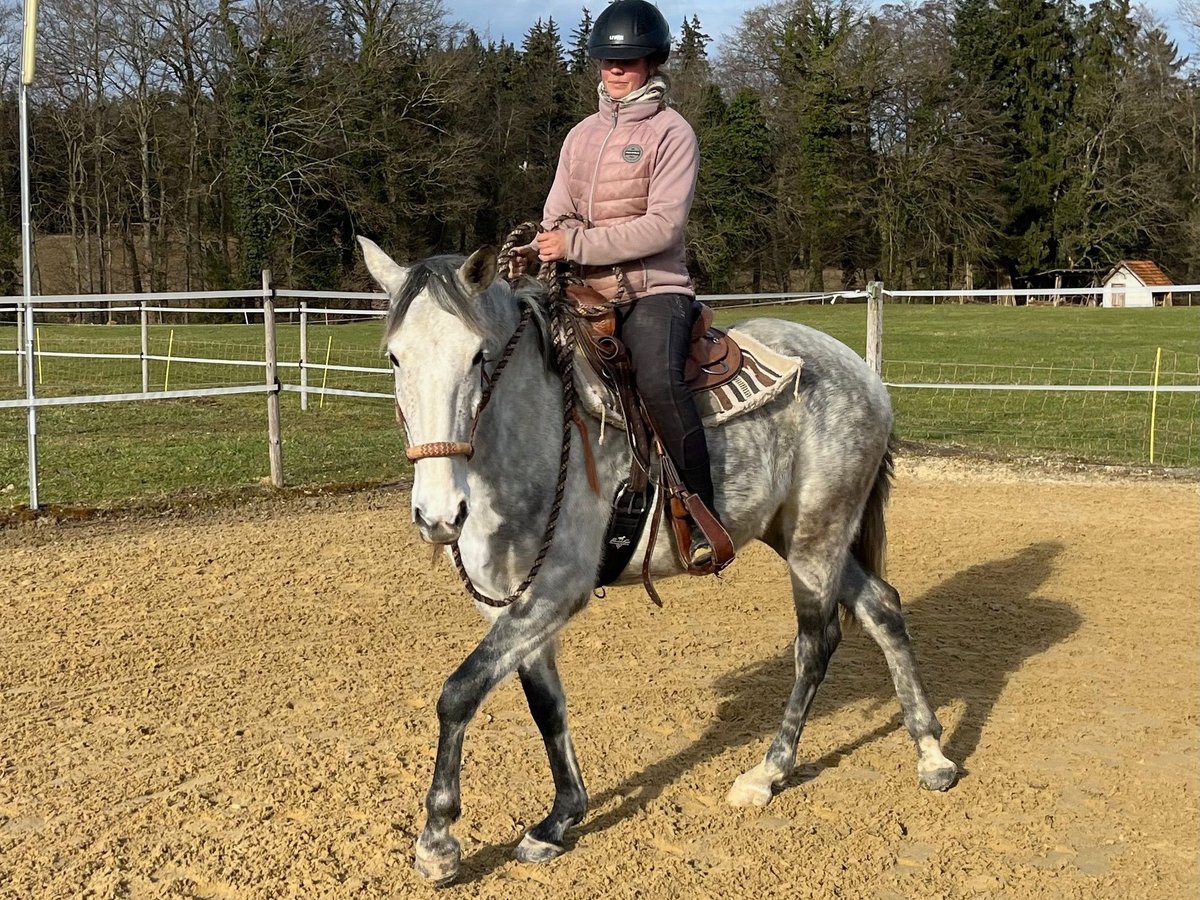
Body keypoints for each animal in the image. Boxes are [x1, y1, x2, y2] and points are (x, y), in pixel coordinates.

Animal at [360, 240, 960, 888]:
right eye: (394, 357)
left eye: (477, 356)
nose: (438, 513)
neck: (535, 431)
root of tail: (861, 373)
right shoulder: (513, 603)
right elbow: (545, 705)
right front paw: (559, 819)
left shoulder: (556, 592)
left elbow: (458, 692)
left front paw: (438, 841)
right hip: (802, 535)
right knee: (883, 607)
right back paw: (931, 753)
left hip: (815, 541)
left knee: (816, 643)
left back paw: (769, 772)